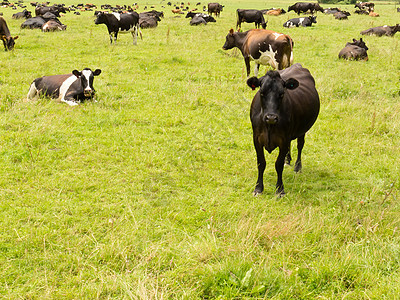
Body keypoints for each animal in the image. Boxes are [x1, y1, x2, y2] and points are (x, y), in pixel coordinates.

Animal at [248, 62, 320, 195]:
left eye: (281, 94)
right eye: (262, 93)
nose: (271, 117)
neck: (269, 126)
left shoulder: (284, 139)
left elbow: (278, 164)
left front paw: (280, 189)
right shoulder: (256, 138)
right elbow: (261, 163)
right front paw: (258, 188)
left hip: (302, 130)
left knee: (300, 145)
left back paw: (297, 167)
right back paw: (288, 160)